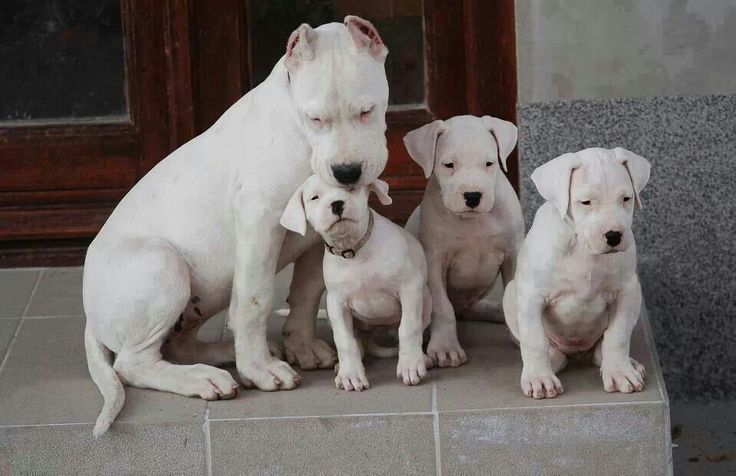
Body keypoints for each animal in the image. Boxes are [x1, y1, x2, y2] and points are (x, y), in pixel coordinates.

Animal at [81, 16, 392, 436]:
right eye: (315, 119)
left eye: (366, 111)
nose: (346, 172)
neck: (298, 131)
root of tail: (89, 315)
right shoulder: (259, 219)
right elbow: (254, 299)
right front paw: (259, 370)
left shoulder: (320, 232)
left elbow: (308, 291)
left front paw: (301, 345)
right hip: (161, 264)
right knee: (132, 363)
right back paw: (203, 377)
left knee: (176, 345)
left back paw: (222, 354)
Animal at [280, 175, 432, 390]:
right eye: (315, 197)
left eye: (350, 188)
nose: (337, 204)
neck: (353, 250)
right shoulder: (336, 304)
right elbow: (344, 340)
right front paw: (350, 374)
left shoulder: (409, 289)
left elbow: (409, 329)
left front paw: (410, 364)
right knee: (356, 339)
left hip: (426, 299)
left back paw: (421, 358)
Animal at [402, 115, 524, 368]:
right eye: (449, 165)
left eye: (489, 164)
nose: (473, 196)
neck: (472, 221)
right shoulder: (434, 261)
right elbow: (442, 308)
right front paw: (445, 348)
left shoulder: (513, 254)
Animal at [504, 148, 652, 398]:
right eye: (586, 202)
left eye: (626, 198)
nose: (614, 236)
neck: (584, 249)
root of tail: (578, 354)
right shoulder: (531, 295)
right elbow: (534, 340)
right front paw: (539, 379)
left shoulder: (627, 292)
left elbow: (618, 336)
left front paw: (620, 372)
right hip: (509, 294)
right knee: (549, 349)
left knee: (602, 348)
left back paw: (624, 364)